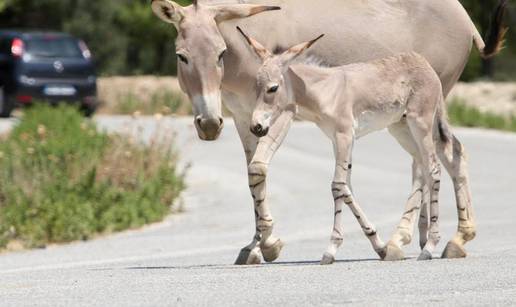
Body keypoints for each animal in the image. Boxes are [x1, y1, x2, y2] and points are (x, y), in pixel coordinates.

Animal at [240, 27, 454, 264]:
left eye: (272, 88)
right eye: (255, 87)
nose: (256, 127)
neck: (325, 91)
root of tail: (424, 63)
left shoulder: (344, 135)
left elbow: (337, 186)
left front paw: (331, 249)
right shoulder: (337, 139)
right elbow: (346, 188)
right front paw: (380, 246)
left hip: (421, 124)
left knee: (433, 169)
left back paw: (430, 246)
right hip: (402, 130)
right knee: (425, 168)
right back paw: (422, 243)